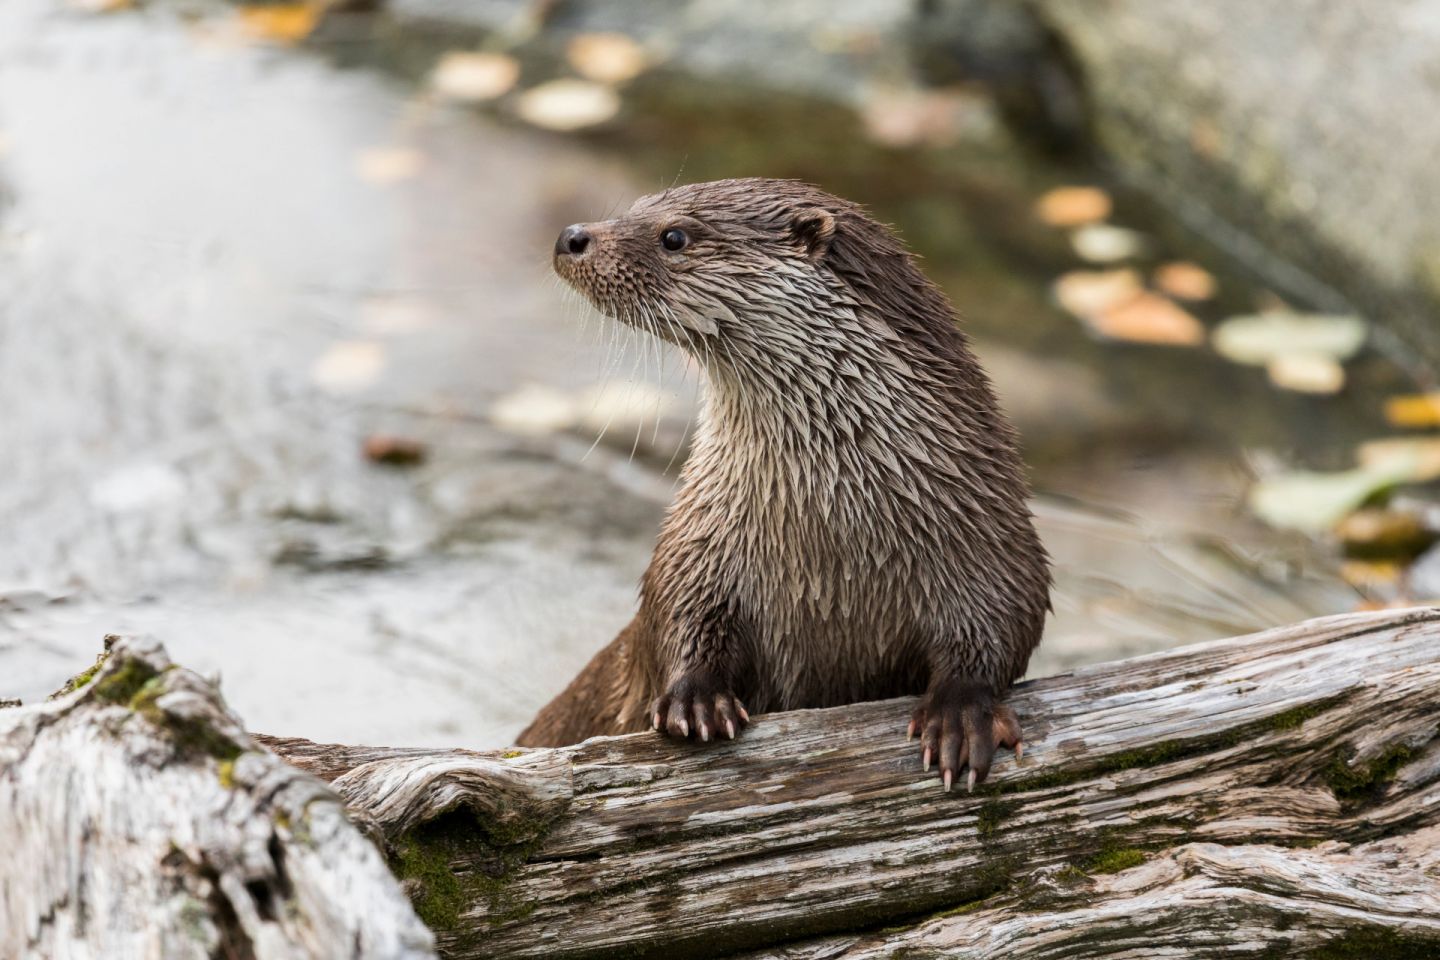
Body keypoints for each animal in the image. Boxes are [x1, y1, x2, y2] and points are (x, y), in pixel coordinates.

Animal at [518, 178, 1048, 788]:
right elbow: (676, 611)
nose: (571, 236)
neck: (831, 537)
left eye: (674, 236)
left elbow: (1001, 630)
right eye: (637, 205)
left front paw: (960, 716)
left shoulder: (991, 542)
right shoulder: (700, 538)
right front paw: (695, 699)